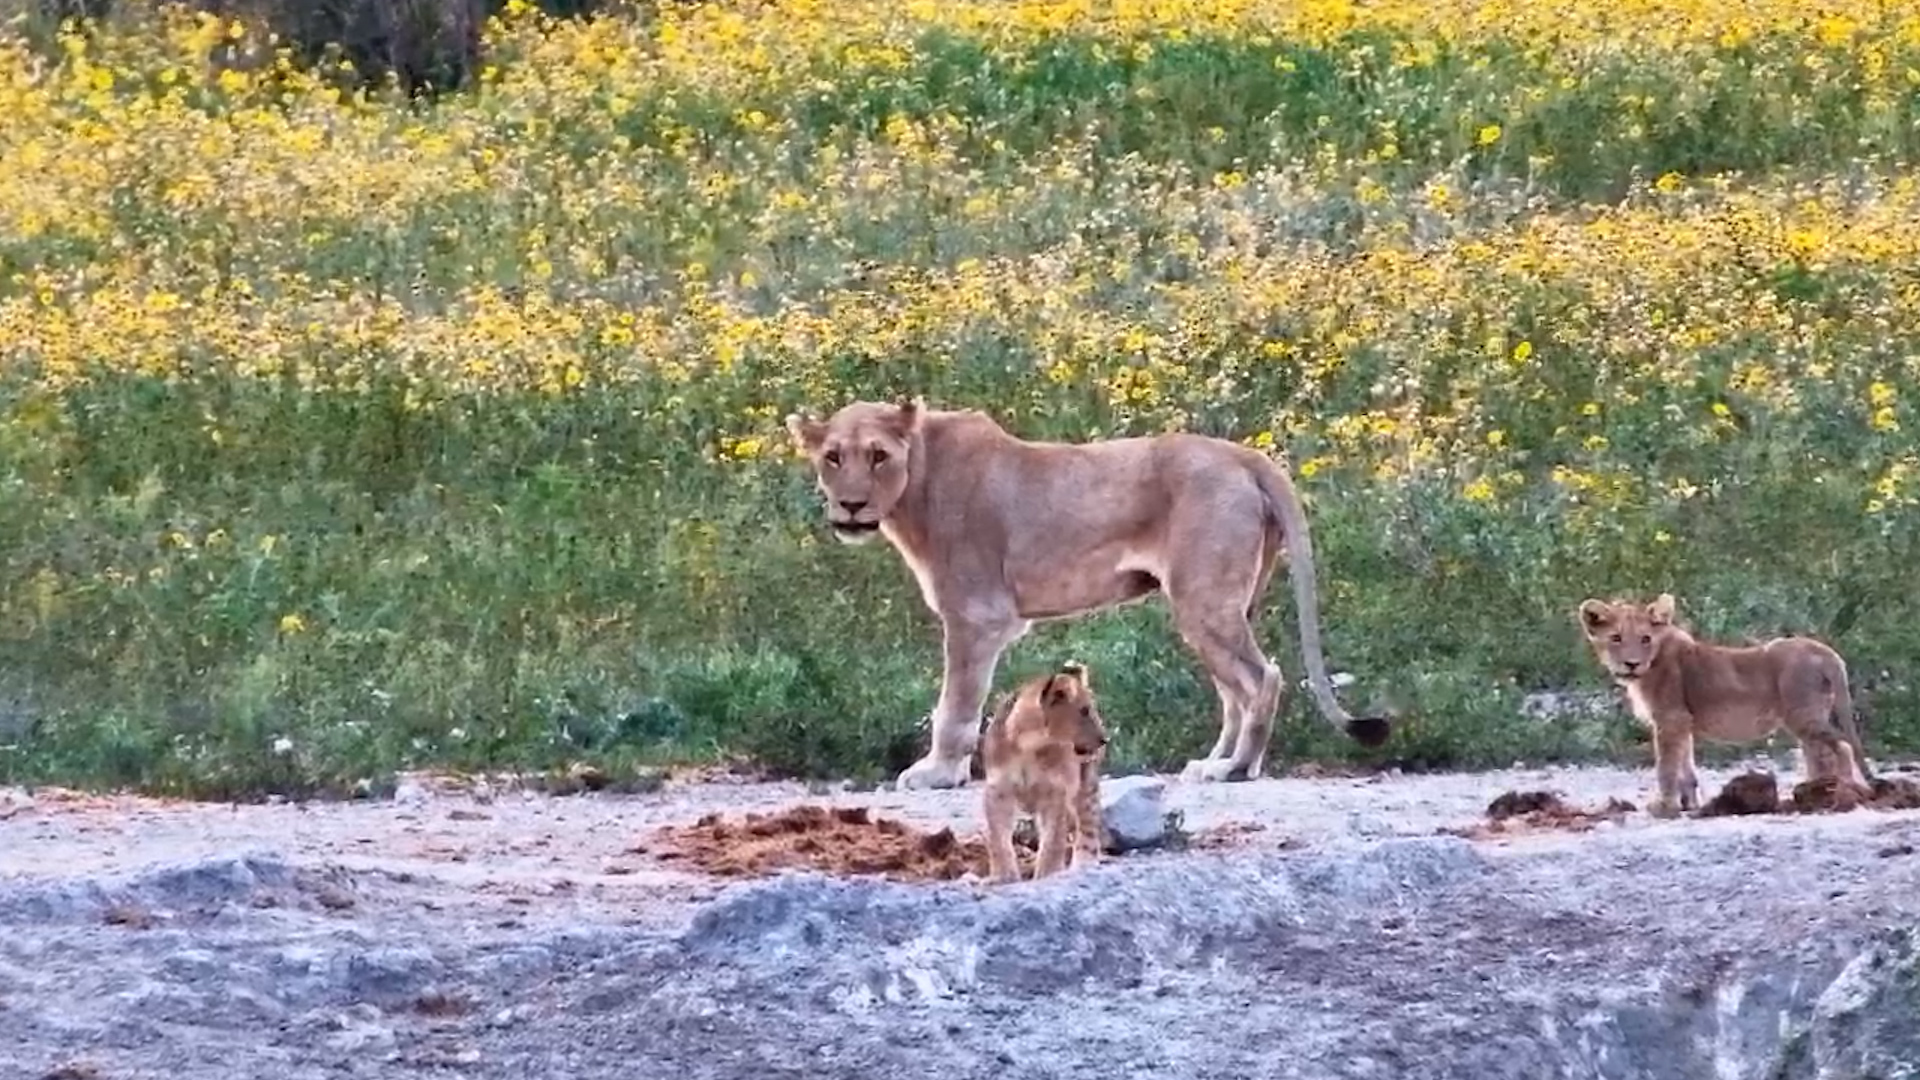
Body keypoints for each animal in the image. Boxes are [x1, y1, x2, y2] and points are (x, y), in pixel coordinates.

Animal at [784, 397, 1390, 791]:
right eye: (833, 457)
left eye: (878, 456)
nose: (852, 506)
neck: (918, 481)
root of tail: (1246, 455)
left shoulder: (978, 616)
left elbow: (955, 704)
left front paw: (936, 773)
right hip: (1217, 603)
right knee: (1235, 691)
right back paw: (1211, 763)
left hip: (1204, 601)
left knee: (1262, 679)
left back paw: (1234, 769)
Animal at [979, 661, 1110, 883]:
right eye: (1084, 711)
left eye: (1090, 709)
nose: (1104, 739)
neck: (1028, 745)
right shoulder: (998, 791)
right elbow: (998, 838)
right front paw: (1003, 876)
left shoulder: (1055, 792)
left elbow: (1053, 840)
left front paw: (1048, 873)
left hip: (1086, 784)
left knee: (1088, 824)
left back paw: (1084, 864)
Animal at [1577, 592, 1874, 818]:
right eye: (1615, 638)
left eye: (1645, 638)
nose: (1631, 663)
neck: (1653, 662)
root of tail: (1825, 652)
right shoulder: (1683, 723)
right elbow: (1686, 767)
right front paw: (1688, 804)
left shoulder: (1670, 719)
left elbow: (1666, 767)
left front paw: (1664, 807)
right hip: (1811, 715)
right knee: (1821, 754)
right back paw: (1813, 793)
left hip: (1803, 715)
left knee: (1842, 747)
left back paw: (1840, 793)